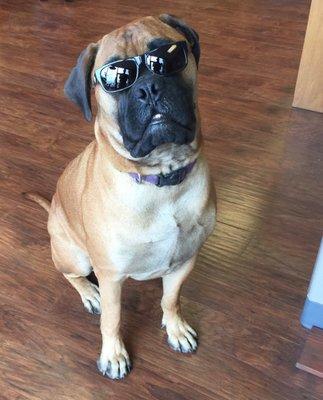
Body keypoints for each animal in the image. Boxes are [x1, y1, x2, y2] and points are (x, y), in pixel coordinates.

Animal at [25, 13, 216, 382]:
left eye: (168, 56)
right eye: (117, 77)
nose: (148, 88)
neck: (161, 181)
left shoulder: (185, 259)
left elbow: (171, 299)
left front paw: (175, 327)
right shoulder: (112, 276)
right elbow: (111, 320)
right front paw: (113, 355)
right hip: (76, 256)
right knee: (71, 275)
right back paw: (89, 293)